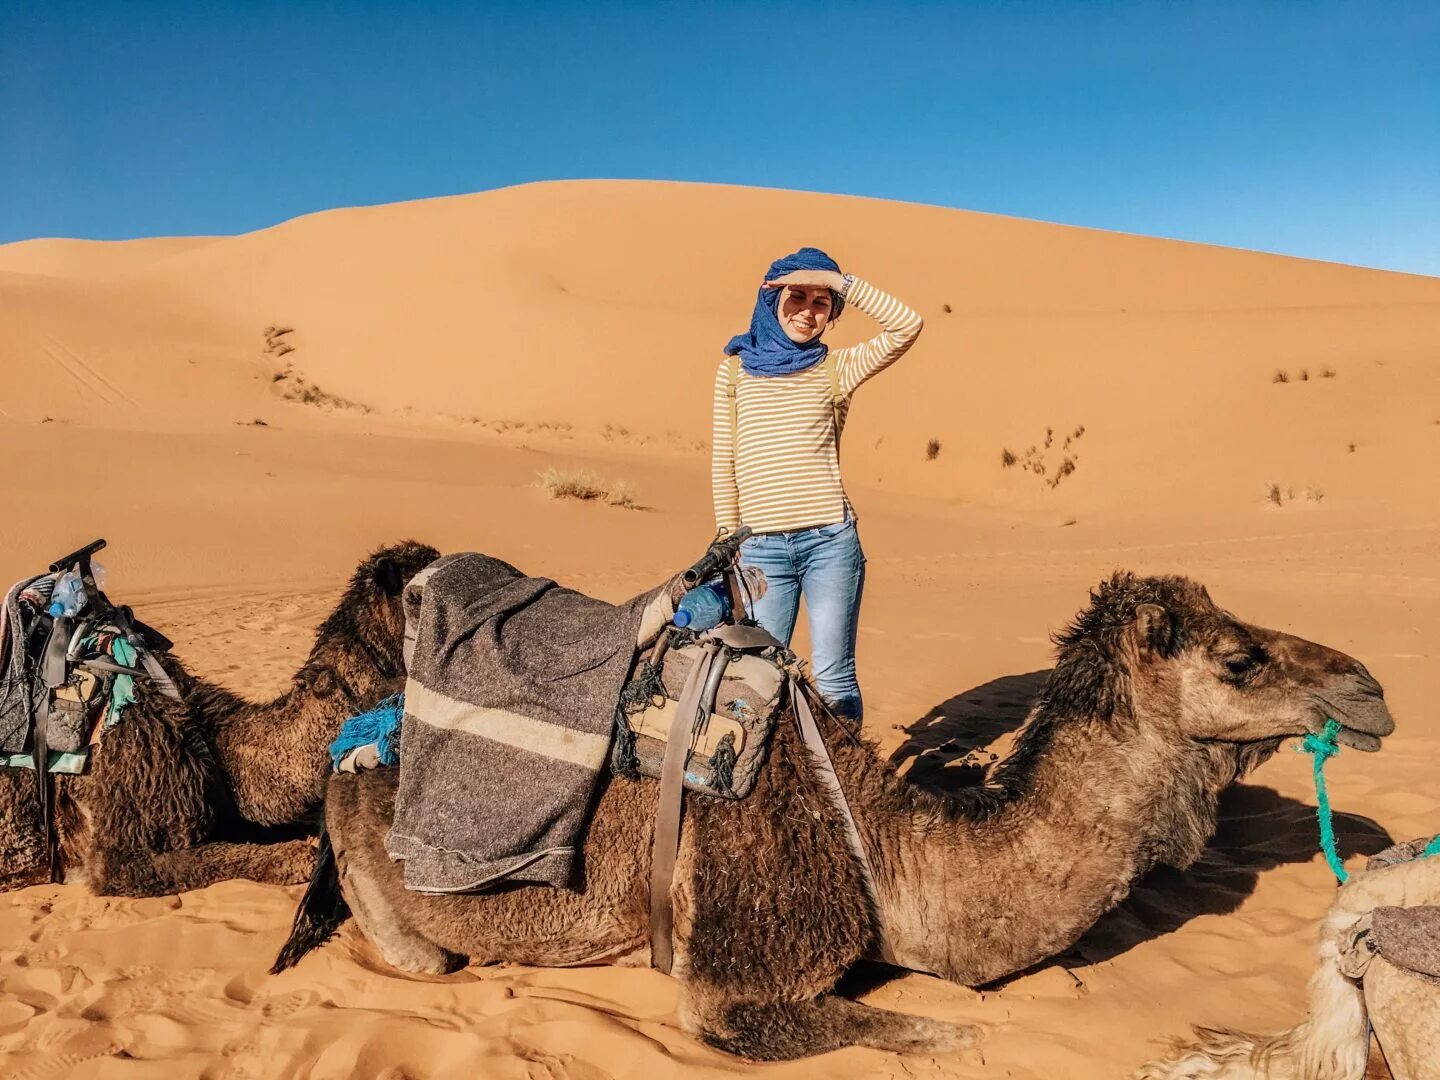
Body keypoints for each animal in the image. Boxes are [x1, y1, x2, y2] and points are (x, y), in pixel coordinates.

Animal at [272, 576, 1393, 1065]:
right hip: (389, 892)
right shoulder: (739, 980)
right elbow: (953, 1037)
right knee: (419, 955)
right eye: (1240, 657)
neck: (884, 846)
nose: (1372, 686)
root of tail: (353, 738)